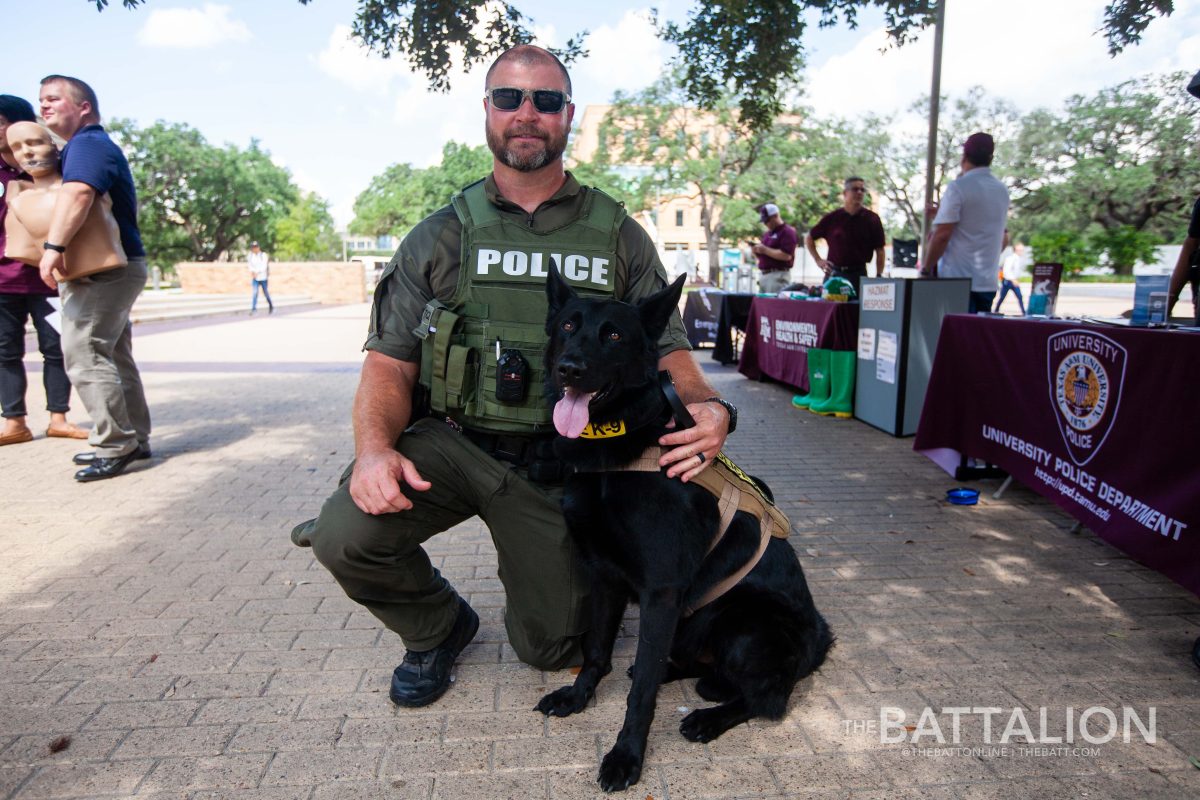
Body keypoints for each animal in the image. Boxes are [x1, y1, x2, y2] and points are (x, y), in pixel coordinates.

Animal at [537, 268, 830, 796]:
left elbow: (640, 697)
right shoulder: (605, 578)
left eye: (614, 335)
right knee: (690, 664)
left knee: (768, 700)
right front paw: (579, 695)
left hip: (744, 618)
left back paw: (709, 717)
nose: (569, 369)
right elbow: (596, 651)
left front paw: (626, 756)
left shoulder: (661, 591)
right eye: (568, 326)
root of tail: (817, 641)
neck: (621, 450)